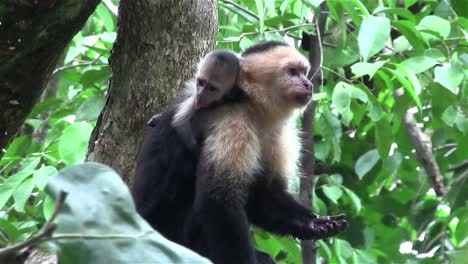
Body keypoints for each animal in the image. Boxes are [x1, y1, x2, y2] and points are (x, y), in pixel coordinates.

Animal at [132, 41, 348, 264]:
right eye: (292, 72)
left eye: (304, 73)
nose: (308, 85)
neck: (254, 109)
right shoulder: (233, 123)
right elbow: (218, 204)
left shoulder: (279, 132)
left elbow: (263, 194)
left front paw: (313, 224)